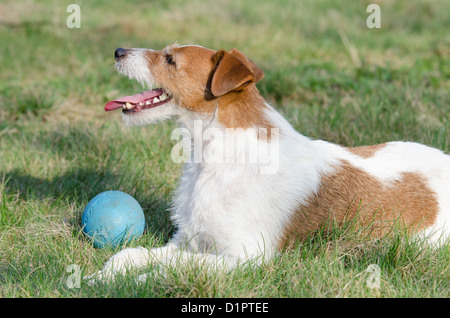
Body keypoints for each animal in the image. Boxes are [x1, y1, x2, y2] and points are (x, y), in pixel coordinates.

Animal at [85, 42, 450, 284]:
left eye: (170, 59)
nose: (118, 50)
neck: (216, 156)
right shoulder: (186, 240)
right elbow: (132, 255)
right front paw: (99, 278)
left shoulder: (246, 257)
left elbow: (172, 270)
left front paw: (135, 281)